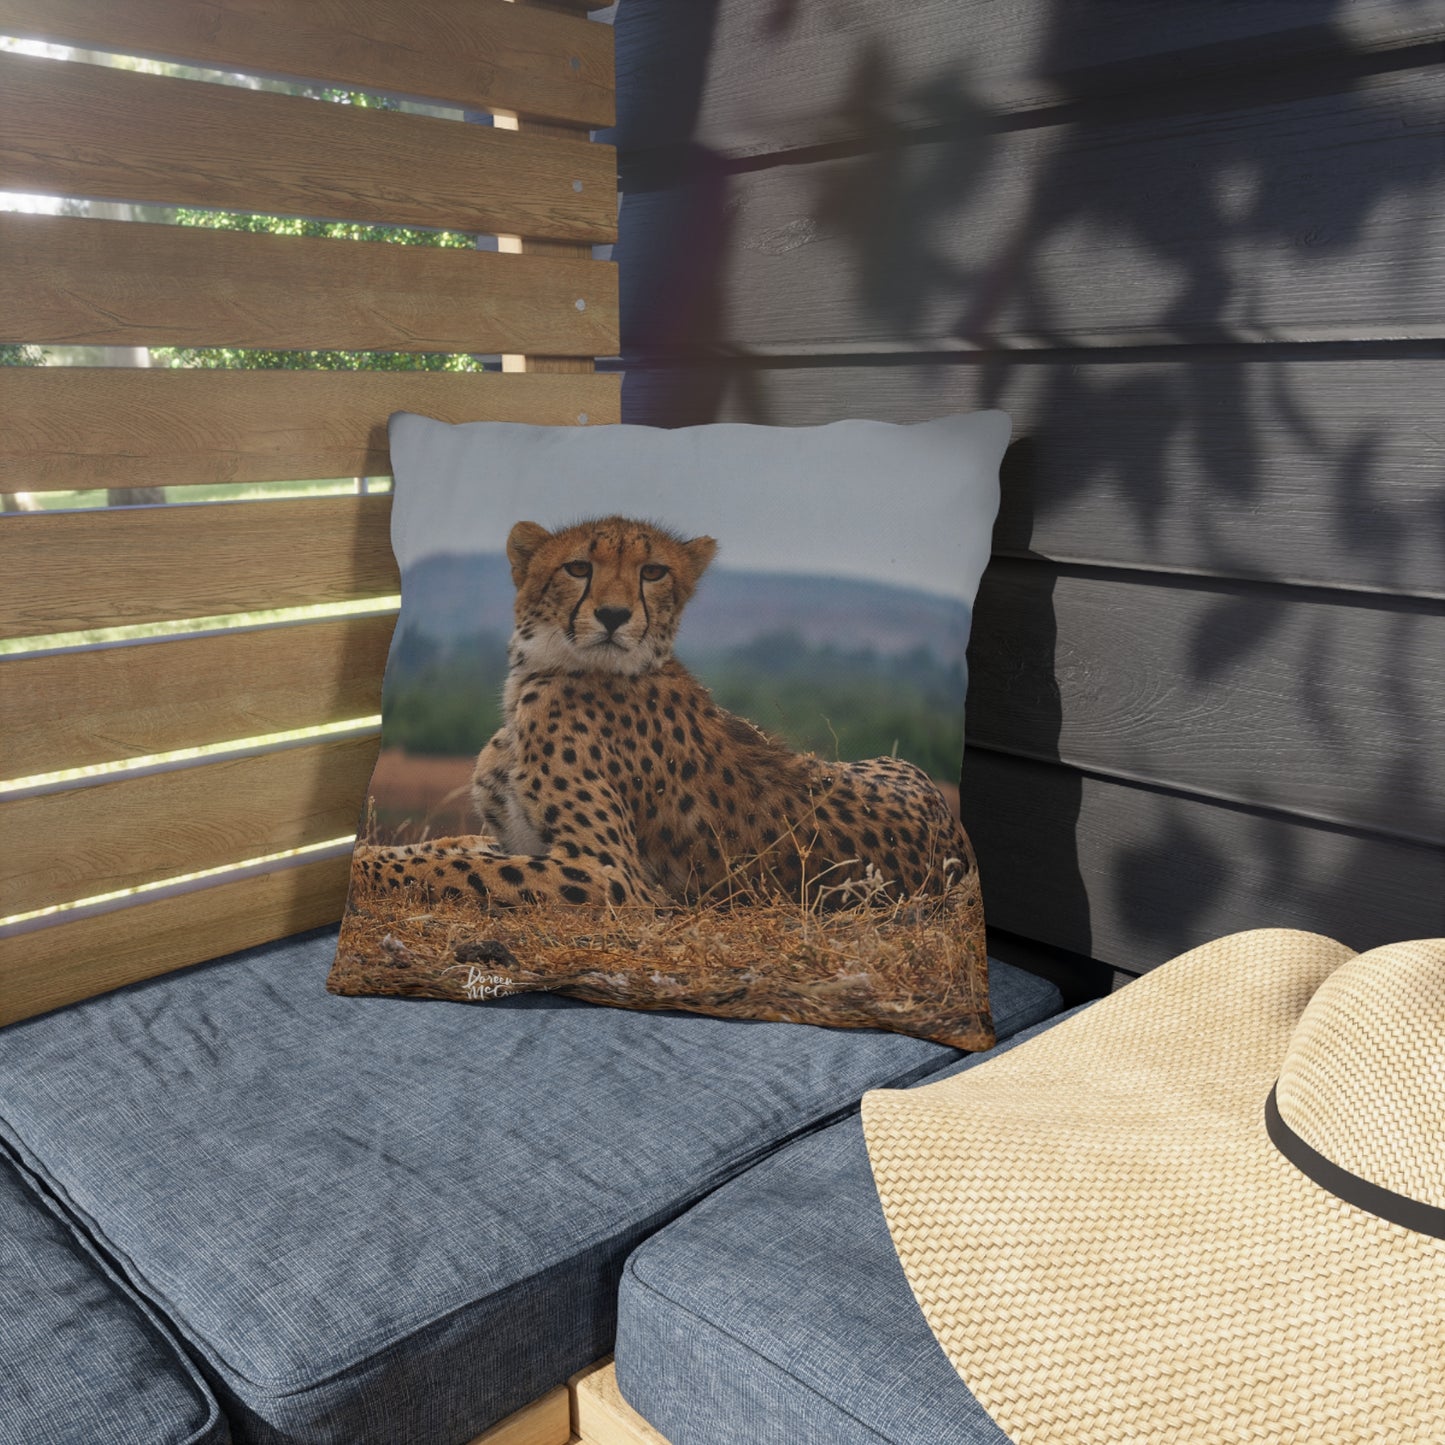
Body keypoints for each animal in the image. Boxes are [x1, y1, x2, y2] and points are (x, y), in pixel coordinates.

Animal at [353, 516, 978, 914]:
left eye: (652, 572)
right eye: (577, 567)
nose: (612, 614)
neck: (541, 673)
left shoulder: (611, 875)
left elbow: (453, 868)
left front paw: (366, 868)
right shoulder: (516, 841)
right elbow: (445, 849)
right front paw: (370, 852)